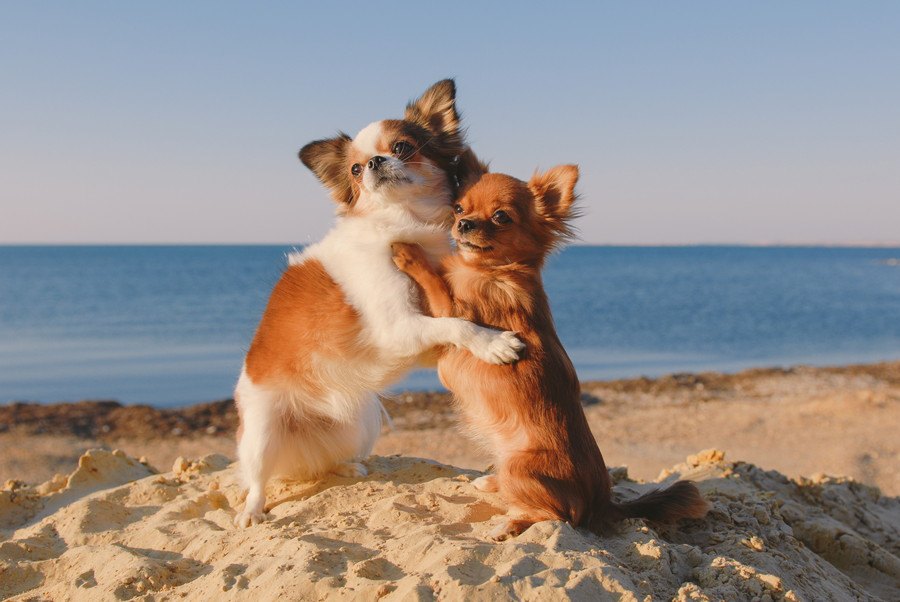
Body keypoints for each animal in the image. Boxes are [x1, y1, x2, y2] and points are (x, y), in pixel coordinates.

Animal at [236, 81, 524, 524]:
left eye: (403, 147)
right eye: (355, 170)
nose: (373, 162)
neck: (404, 222)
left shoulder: (419, 332)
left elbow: (454, 322)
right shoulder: (399, 328)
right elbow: (457, 325)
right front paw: (493, 344)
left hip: (360, 423)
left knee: (325, 461)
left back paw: (345, 467)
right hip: (263, 429)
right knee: (257, 479)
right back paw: (252, 510)